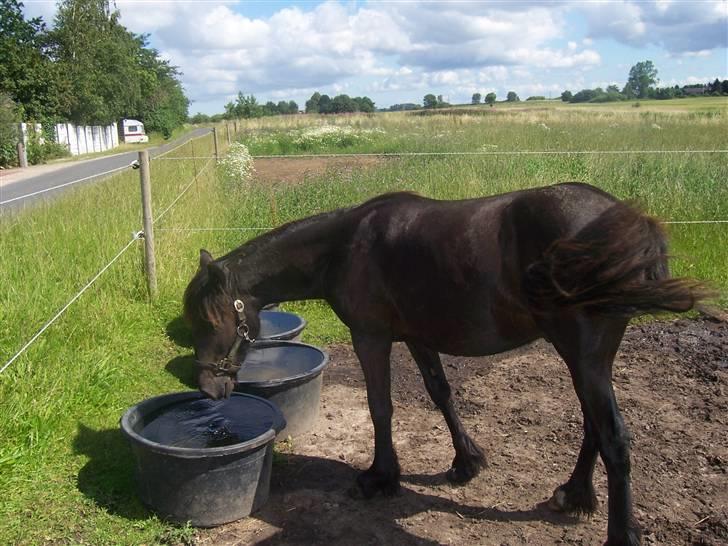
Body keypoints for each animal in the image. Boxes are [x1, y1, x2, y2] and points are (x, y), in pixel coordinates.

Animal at [183, 182, 705, 545]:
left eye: (207, 320)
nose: (207, 389)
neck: (345, 246)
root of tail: (629, 225)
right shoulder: (417, 338)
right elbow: (441, 393)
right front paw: (465, 462)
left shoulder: (371, 338)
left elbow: (381, 407)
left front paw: (380, 477)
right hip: (587, 359)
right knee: (594, 427)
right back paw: (573, 495)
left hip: (583, 354)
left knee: (613, 437)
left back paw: (618, 529)